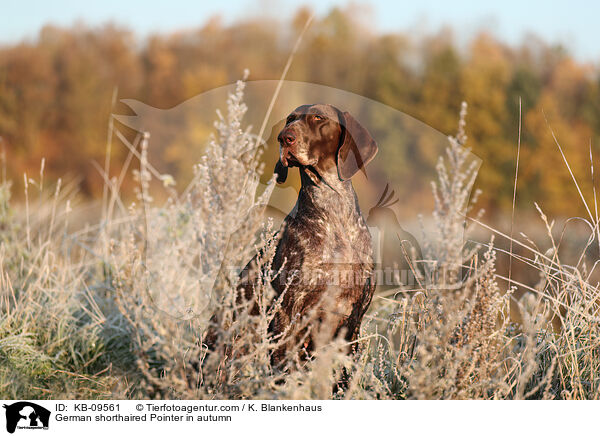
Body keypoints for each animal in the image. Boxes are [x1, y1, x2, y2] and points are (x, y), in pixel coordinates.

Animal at [237, 104, 378, 366]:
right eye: (290, 120)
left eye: (318, 118)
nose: (284, 138)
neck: (334, 212)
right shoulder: (288, 313)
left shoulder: (353, 320)